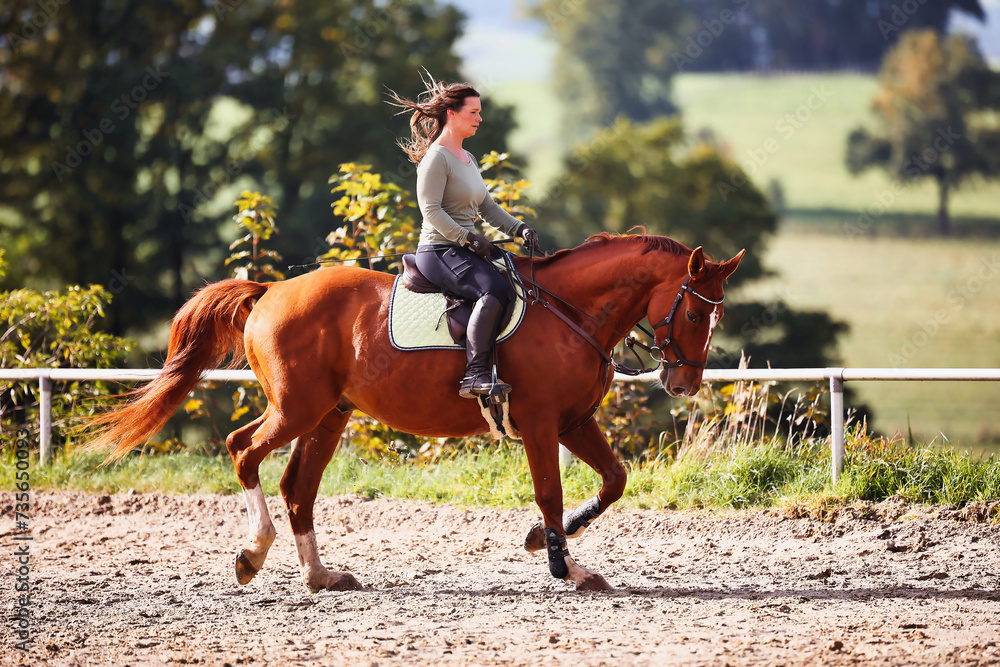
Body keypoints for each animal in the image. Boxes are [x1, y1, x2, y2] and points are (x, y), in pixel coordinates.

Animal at [90, 233, 743, 592]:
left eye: (717, 316)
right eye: (693, 313)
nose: (683, 383)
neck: (570, 311)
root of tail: (269, 292)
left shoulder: (574, 422)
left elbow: (613, 481)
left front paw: (546, 543)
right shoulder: (538, 423)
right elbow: (550, 492)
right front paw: (564, 565)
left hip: (328, 415)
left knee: (298, 486)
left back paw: (319, 577)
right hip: (298, 408)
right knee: (242, 450)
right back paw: (253, 553)